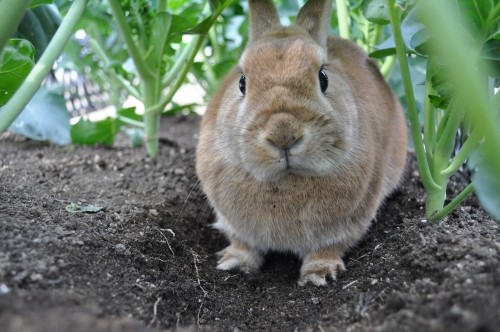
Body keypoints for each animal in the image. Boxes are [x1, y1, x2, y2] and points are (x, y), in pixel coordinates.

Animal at [194, 0, 406, 286]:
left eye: (323, 78)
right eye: (241, 83)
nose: (283, 134)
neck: (285, 183)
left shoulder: (346, 225)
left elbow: (327, 249)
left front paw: (318, 276)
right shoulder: (233, 224)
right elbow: (243, 244)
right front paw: (234, 264)